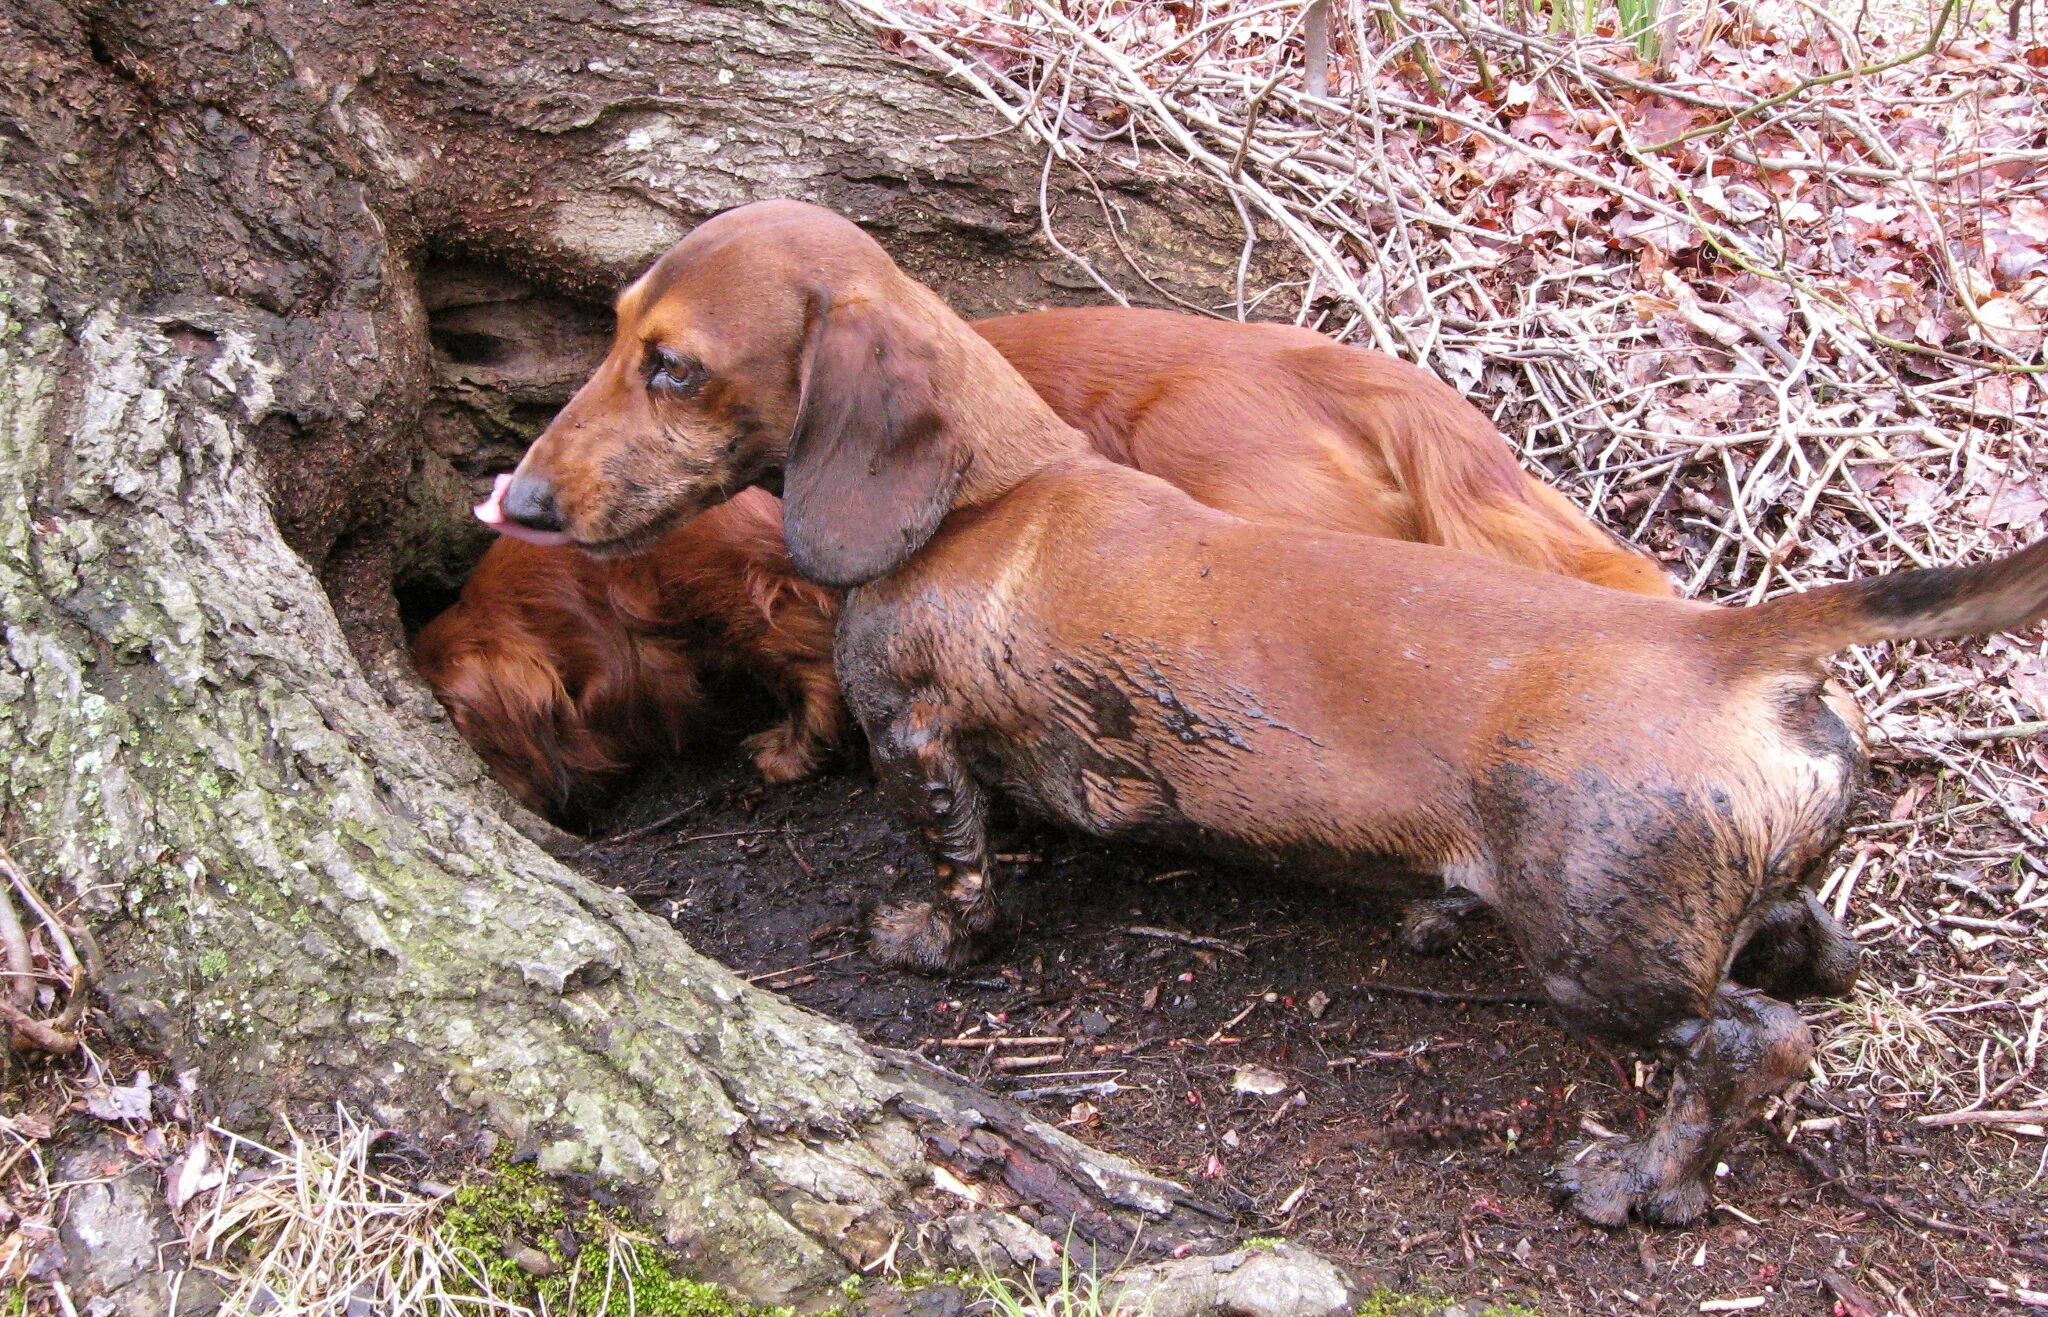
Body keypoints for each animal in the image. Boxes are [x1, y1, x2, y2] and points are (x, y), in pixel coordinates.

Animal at [483, 200, 2048, 1228]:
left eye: (673, 365)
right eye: (612, 335)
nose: (522, 504)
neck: (989, 489)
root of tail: (1724, 641)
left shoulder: (915, 741)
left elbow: (959, 864)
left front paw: (928, 937)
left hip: (1595, 953)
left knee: (1747, 1043)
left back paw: (1642, 1180)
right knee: (1805, 942)